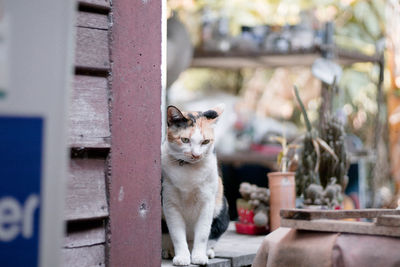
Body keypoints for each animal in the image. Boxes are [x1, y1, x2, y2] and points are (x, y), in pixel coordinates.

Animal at [161, 104, 230, 266]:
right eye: (185, 140)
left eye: (205, 142)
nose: (196, 155)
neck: (188, 169)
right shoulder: (169, 203)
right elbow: (177, 235)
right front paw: (182, 257)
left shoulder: (208, 202)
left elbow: (203, 234)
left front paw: (199, 256)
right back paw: (168, 251)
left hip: (222, 208)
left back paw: (207, 252)